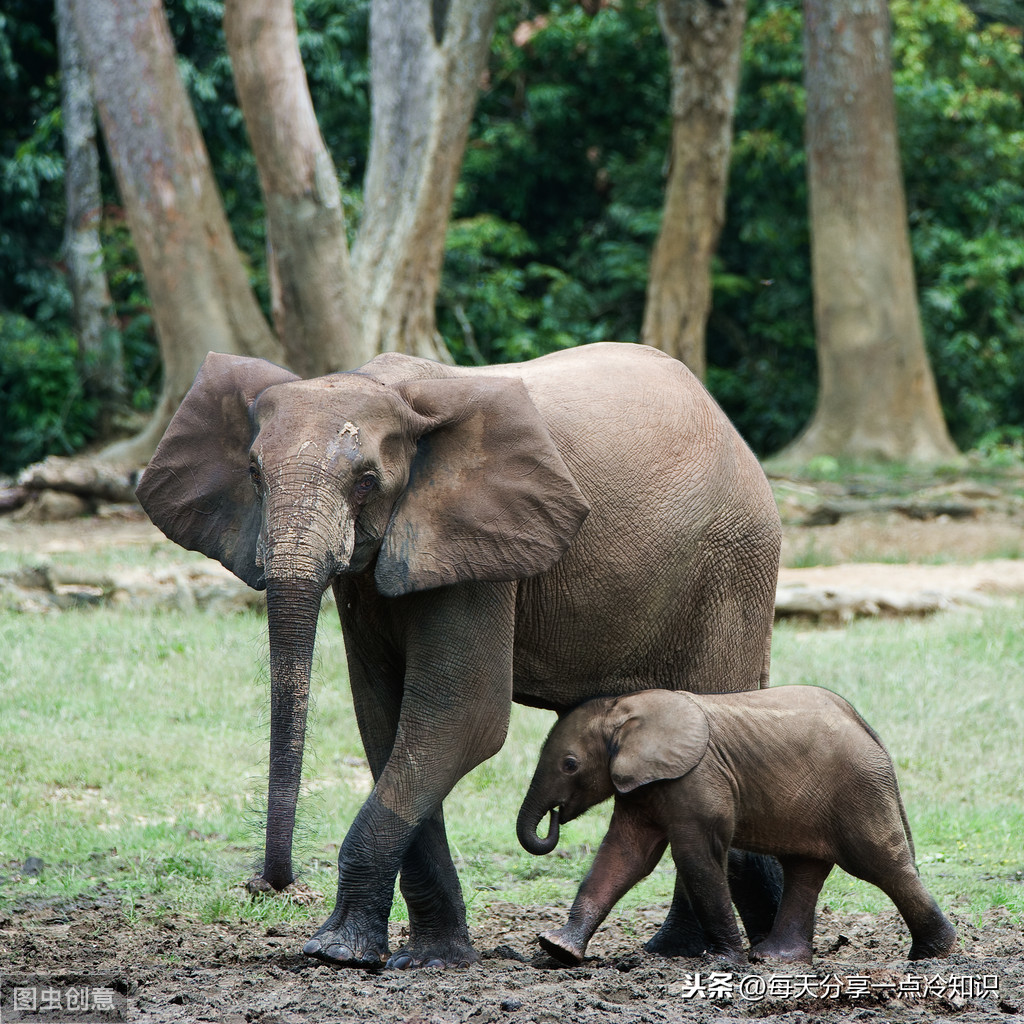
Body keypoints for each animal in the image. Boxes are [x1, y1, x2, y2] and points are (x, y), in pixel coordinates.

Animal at [134, 342, 774, 966]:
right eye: (254, 474)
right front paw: (427, 959)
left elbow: (461, 719)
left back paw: (688, 951)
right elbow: (387, 723)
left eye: (367, 481)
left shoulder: (478, 550)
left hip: (730, 567)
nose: (269, 885)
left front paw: (335, 953)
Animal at [520, 684, 958, 962]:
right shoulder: (642, 788)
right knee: (805, 868)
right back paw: (774, 959)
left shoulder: (699, 778)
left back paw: (932, 954)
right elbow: (624, 857)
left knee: (881, 863)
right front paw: (557, 949)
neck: (624, 706)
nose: (555, 817)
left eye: (570, 765)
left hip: (859, 788)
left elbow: (695, 857)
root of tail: (867, 727)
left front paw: (723, 961)